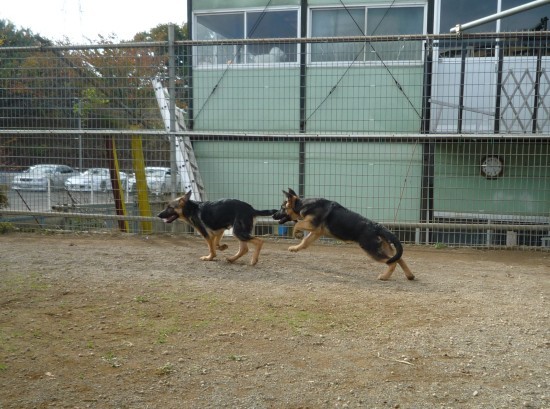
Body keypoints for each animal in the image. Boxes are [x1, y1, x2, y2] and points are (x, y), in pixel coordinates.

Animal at [274, 189, 416, 280]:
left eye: (282, 208)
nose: (273, 215)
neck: (303, 204)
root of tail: (376, 226)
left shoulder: (312, 225)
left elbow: (297, 224)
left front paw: (297, 233)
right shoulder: (317, 232)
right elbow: (305, 242)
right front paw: (295, 248)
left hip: (371, 250)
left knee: (392, 262)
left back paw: (385, 277)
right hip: (383, 248)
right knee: (399, 258)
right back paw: (410, 276)